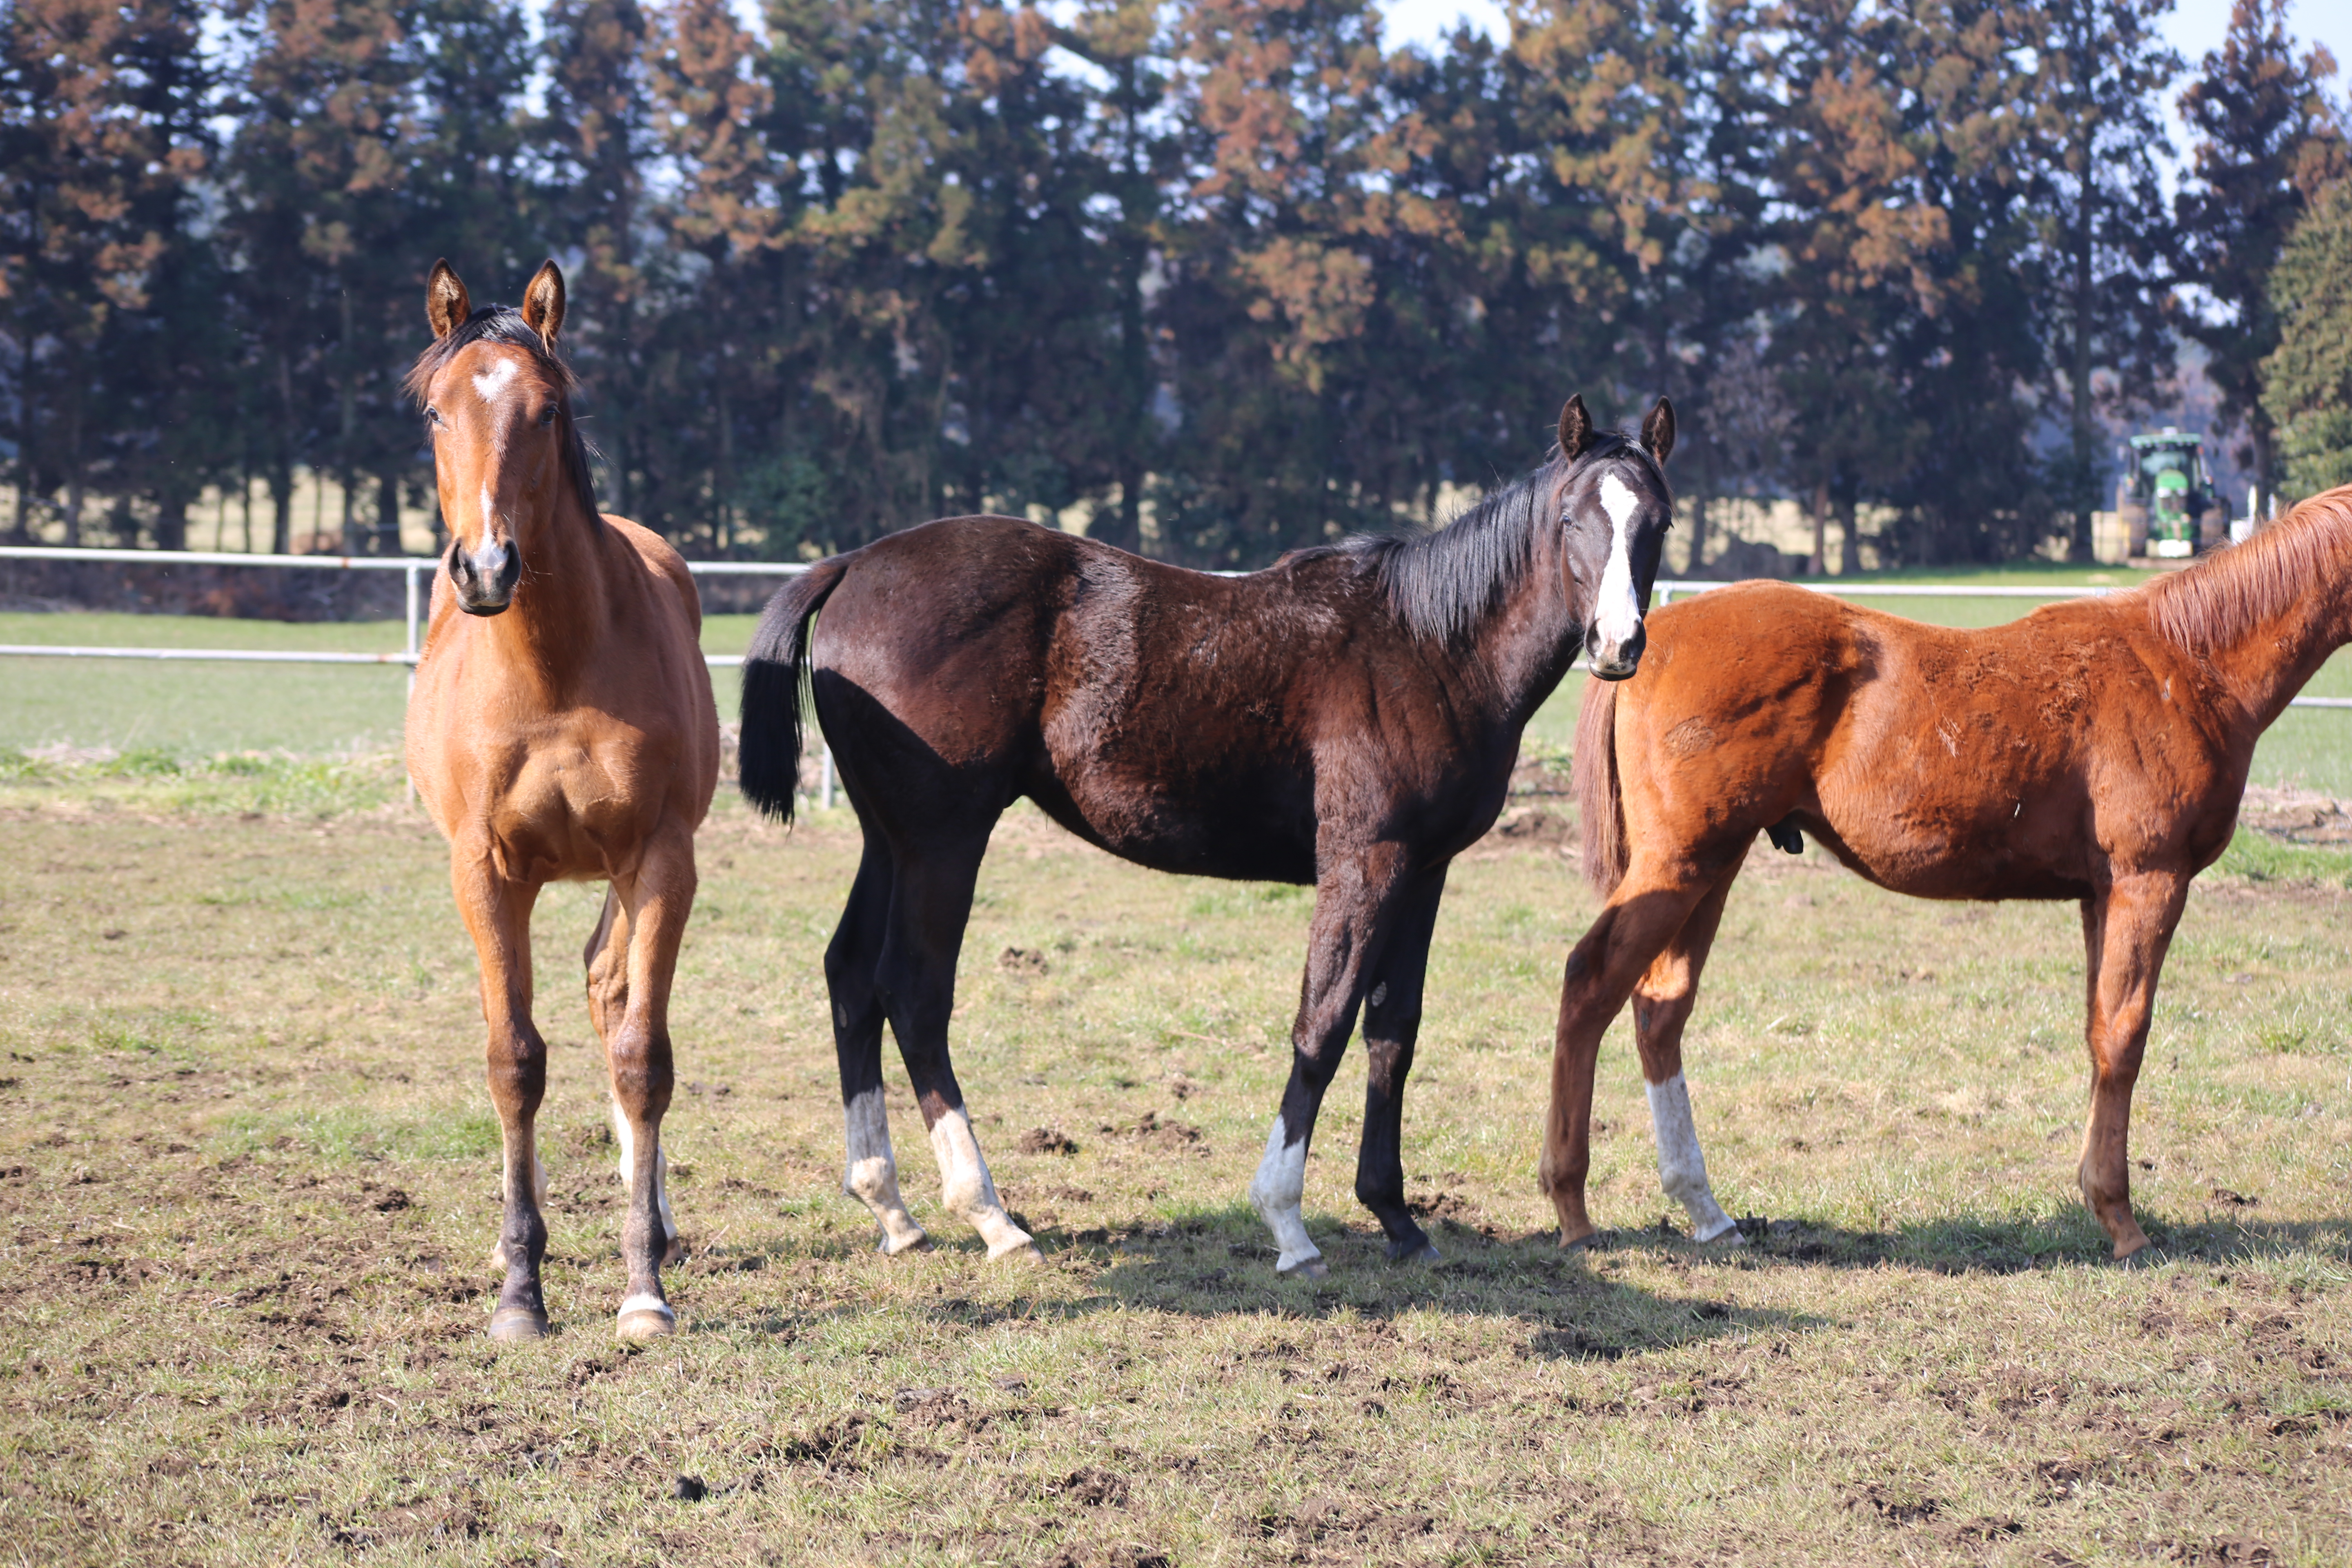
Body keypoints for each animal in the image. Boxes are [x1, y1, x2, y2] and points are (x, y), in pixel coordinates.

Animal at [404, 263, 715, 1345]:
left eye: (546, 411)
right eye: (436, 412)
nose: (486, 567)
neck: (553, 667)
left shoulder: (659, 858)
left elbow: (641, 1055)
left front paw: (643, 1288)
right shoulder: (484, 870)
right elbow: (515, 1063)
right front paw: (518, 1290)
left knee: (611, 990)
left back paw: (654, 1216)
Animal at [743, 392, 1684, 1278]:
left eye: (1659, 522)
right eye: (1571, 519)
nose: (1618, 644)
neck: (1429, 647)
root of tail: (855, 564)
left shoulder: (1423, 872)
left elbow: (1394, 1031)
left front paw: (1396, 1217)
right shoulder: (1364, 862)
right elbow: (1324, 1023)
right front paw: (1288, 1223)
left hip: (890, 842)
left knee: (851, 978)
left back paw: (891, 1207)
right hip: (944, 843)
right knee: (914, 993)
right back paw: (991, 1216)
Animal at [1543, 484, 2352, 1269]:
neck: (2184, 664)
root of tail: (1647, 642)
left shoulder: (2101, 897)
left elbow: (2098, 1034)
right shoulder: (2147, 882)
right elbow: (2124, 1038)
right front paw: (2122, 1221)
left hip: (1711, 869)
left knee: (1660, 1010)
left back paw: (1706, 1212)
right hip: (1682, 866)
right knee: (1590, 983)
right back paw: (1572, 1205)